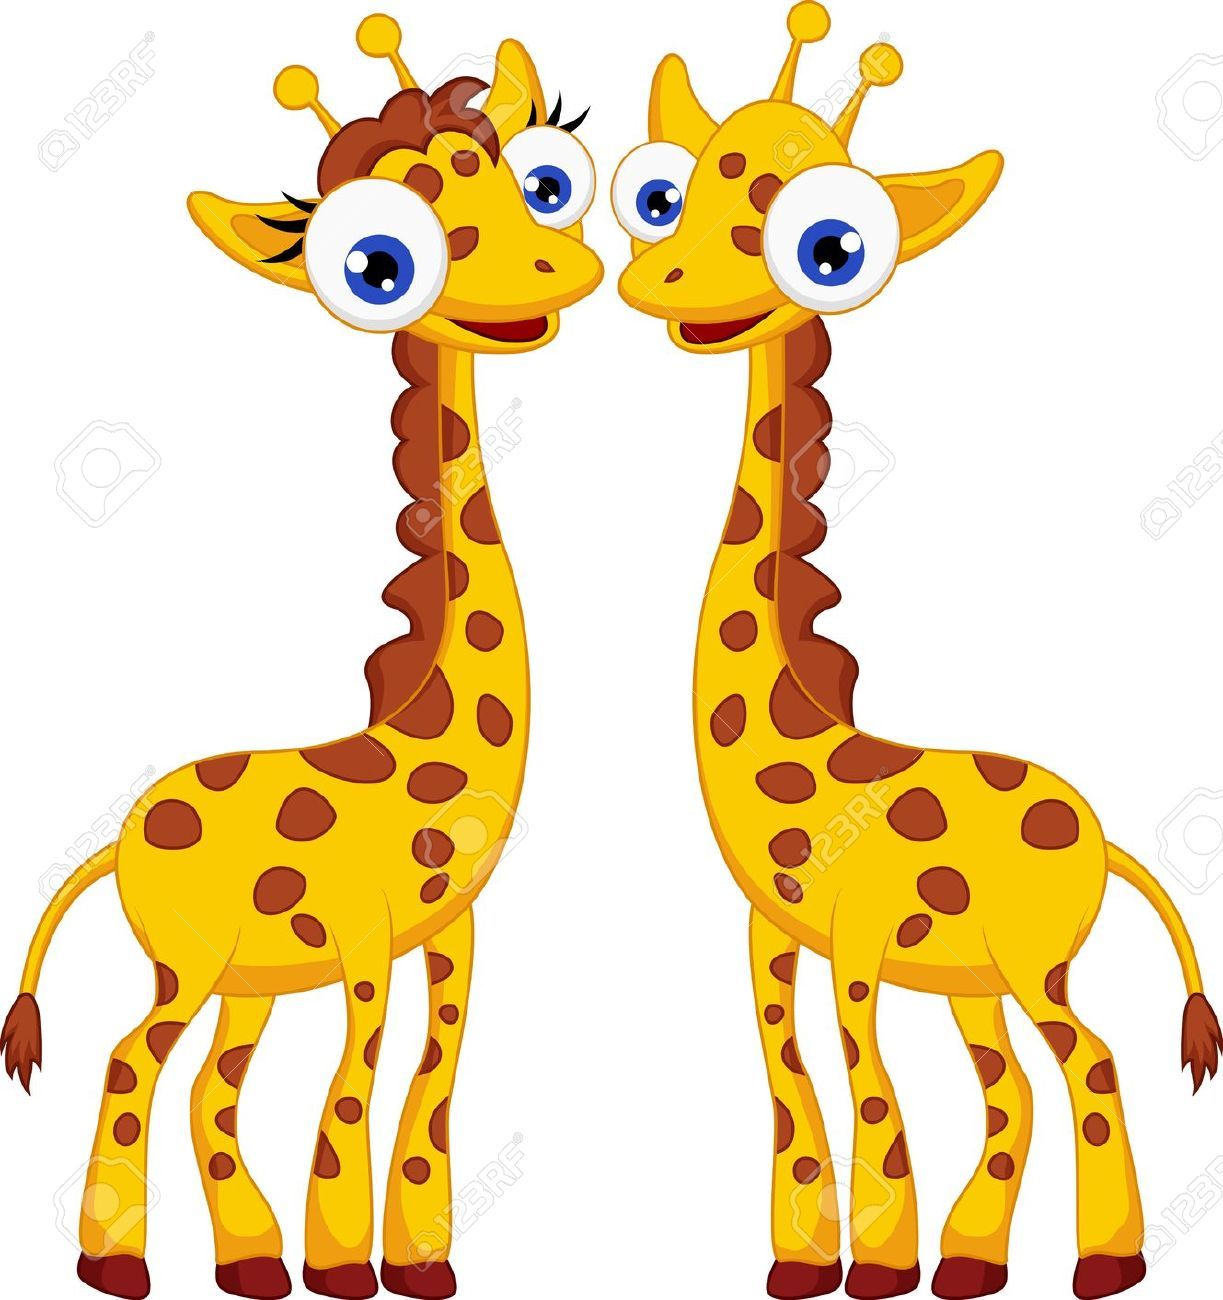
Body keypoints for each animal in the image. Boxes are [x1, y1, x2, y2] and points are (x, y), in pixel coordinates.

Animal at [2, 14, 601, 1300]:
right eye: (375, 266)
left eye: (545, 182)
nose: (556, 275)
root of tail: (120, 836)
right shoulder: (366, 936)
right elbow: (356, 1084)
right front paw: (345, 1265)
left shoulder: (449, 929)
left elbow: (430, 1076)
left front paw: (411, 1264)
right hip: (191, 965)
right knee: (133, 1059)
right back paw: (118, 1263)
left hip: (246, 979)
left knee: (209, 1088)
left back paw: (246, 1263)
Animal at [615, 6, 1220, 1299]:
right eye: (661, 197)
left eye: (830, 247)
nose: (658, 282)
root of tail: (1099, 834)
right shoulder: (772, 930)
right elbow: (790, 1081)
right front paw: (807, 1264)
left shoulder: (856, 937)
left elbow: (865, 1085)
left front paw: (876, 1265)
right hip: (974, 977)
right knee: (1012, 1089)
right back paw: (975, 1262)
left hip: (1029, 962)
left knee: (1086, 1061)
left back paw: (1103, 1262)